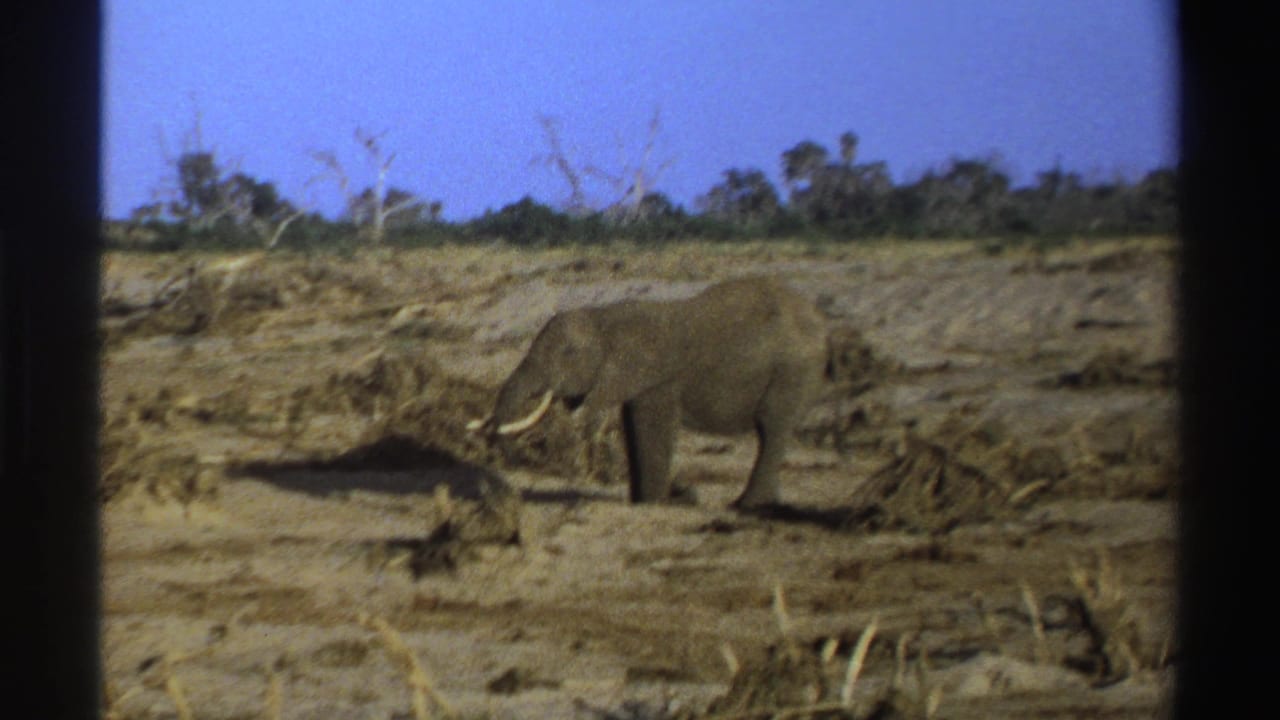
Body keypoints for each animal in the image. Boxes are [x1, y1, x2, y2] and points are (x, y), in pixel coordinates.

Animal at [468, 276, 828, 509]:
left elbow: (651, 429)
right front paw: (649, 500)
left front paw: (657, 502)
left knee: (772, 427)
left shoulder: (657, 379)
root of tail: (820, 320)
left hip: (793, 371)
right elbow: (632, 429)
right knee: (772, 433)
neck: (605, 317)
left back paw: (745, 506)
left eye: (568, 353)